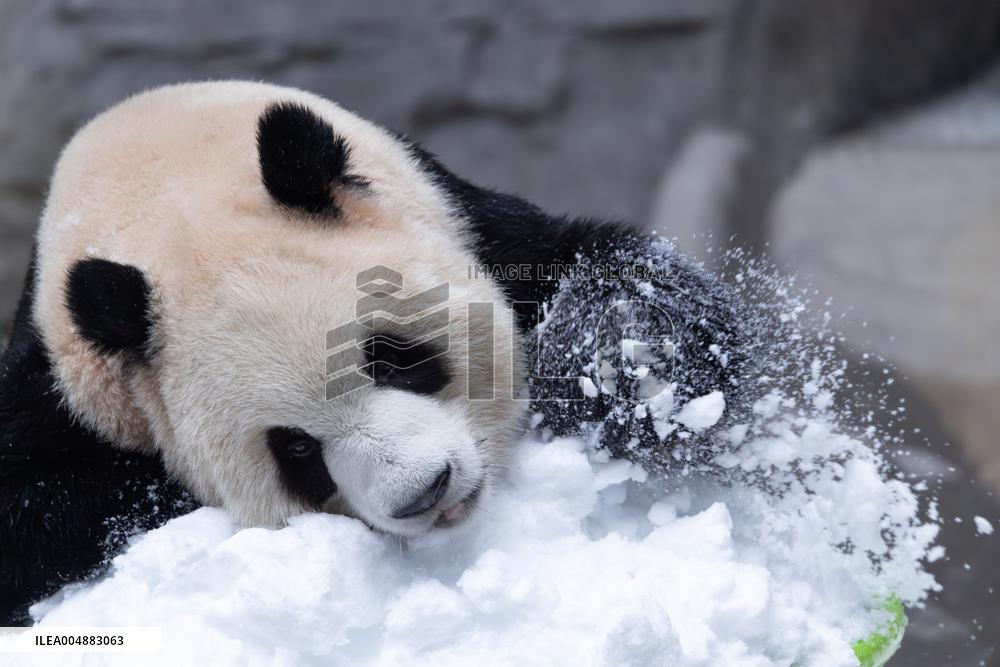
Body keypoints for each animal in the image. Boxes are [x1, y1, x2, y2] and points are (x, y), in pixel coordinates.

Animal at [0, 81, 759, 623]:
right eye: (296, 448)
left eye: (391, 358)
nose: (425, 489)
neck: (164, 187)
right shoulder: (69, 383)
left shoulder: (463, 217)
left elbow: (618, 278)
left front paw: (625, 378)